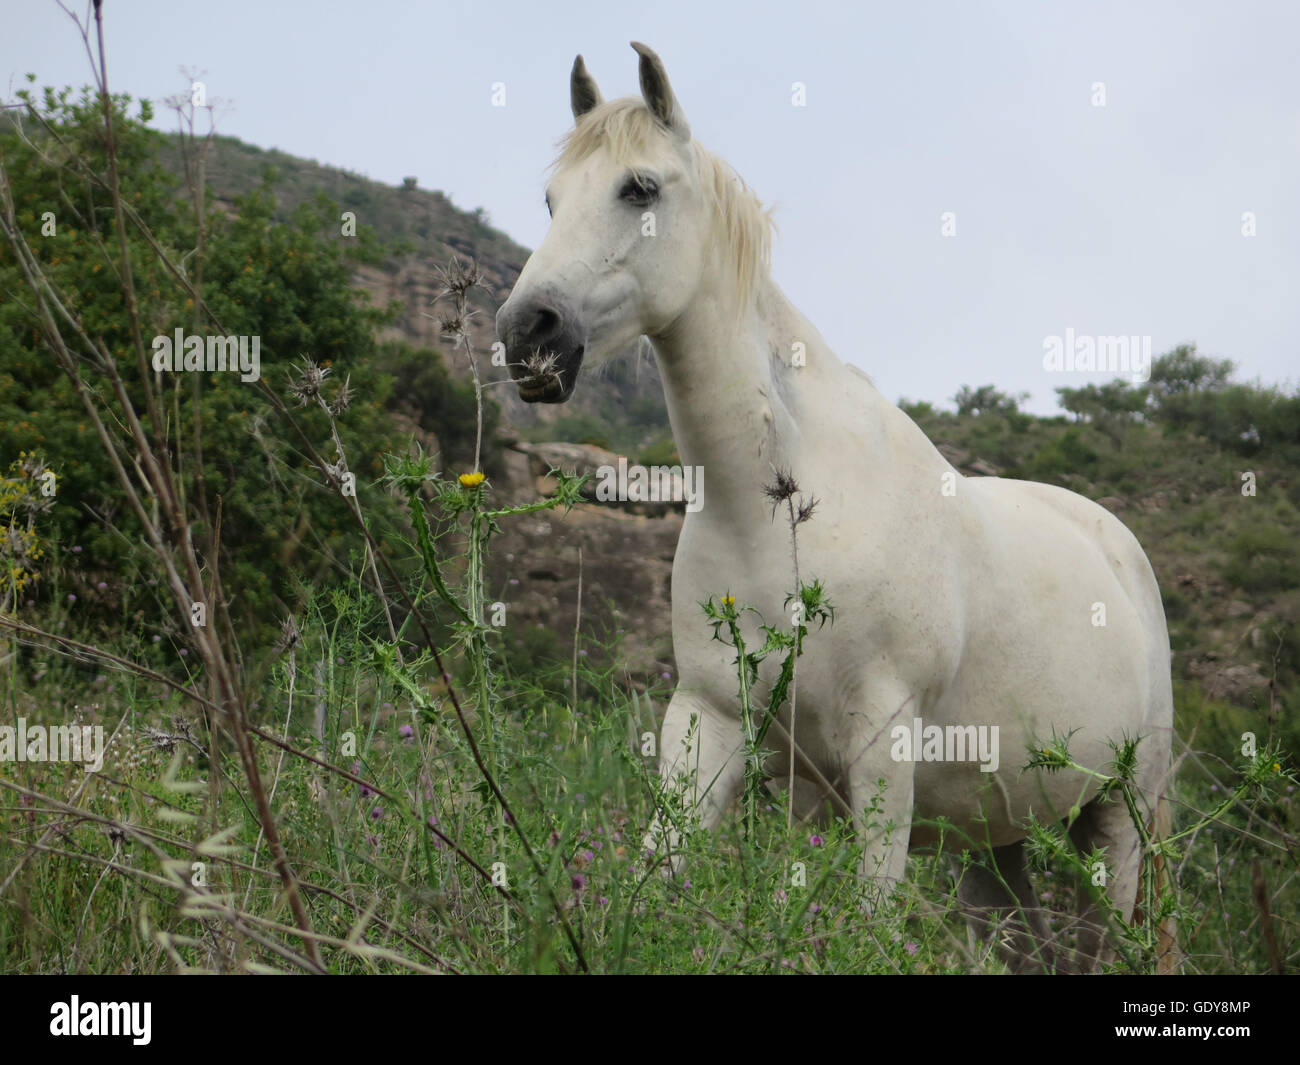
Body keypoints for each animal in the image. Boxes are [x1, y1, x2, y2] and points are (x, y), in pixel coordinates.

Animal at [495, 42, 1176, 973]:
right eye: (552, 199)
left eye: (639, 187)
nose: (528, 333)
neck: (778, 510)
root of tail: (1118, 547)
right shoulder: (713, 724)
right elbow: (658, 875)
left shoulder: (882, 744)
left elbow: (869, 919)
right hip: (993, 841)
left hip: (1120, 819)